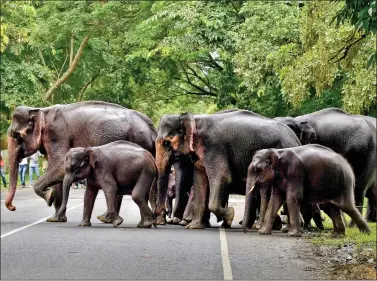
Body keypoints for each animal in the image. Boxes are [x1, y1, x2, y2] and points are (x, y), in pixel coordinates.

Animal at [5, 100, 156, 223]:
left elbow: (58, 166)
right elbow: (57, 170)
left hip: (137, 141)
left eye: (16, 135)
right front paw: (55, 218)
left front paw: (49, 197)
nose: (13, 207)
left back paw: (107, 219)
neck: (41, 111)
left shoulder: (57, 134)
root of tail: (151, 127)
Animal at [153, 108, 300, 229]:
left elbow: (223, 177)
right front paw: (194, 227)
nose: (159, 222)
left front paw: (230, 215)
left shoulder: (214, 148)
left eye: (166, 143)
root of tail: (296, 139)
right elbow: (200, 181)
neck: (195, 119)